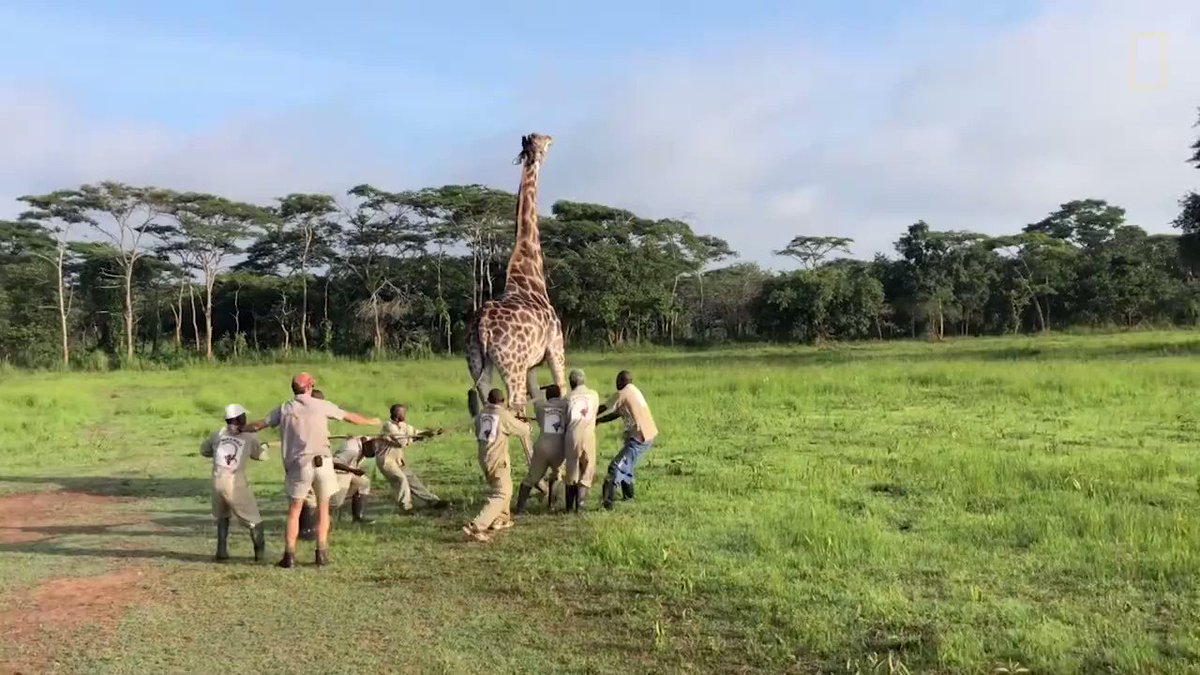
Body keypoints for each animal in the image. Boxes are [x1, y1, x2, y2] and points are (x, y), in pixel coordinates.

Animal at [466, 133, 568, 449]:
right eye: (544, 141)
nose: (552, 139)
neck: (530, 275)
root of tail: (483, 325)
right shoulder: (555, 348)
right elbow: (562, 391)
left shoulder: (532, 365)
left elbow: (542, 403)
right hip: (512, 365)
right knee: (516, 410)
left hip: (478, 362)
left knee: (486, 407)